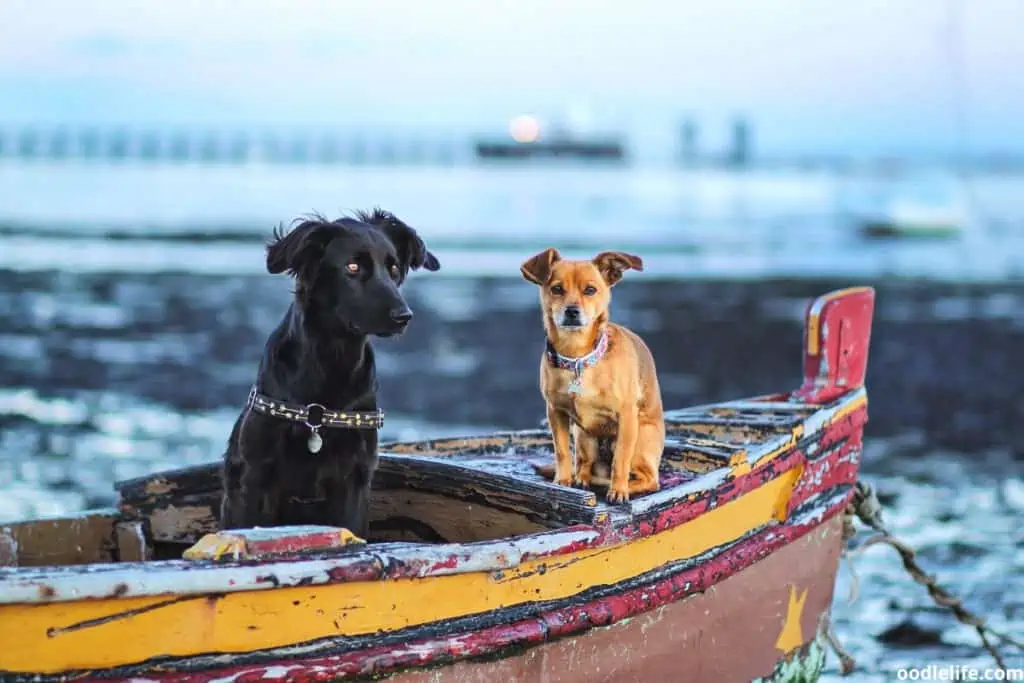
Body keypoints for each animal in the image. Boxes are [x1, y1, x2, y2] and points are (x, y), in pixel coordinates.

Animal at [520, 248, 663, 505]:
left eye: (590, 290)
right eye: (557, 289)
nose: (572, 311)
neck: (578, 358)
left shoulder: (627, 417)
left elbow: (621, 460)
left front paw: (619, 490)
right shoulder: (555, 412)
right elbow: (562, 451)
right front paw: (562, 481)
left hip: (640, 439)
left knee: (649, 479)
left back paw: (621, 485)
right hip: (583, 437)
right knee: (583, 463)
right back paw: (581, 479)